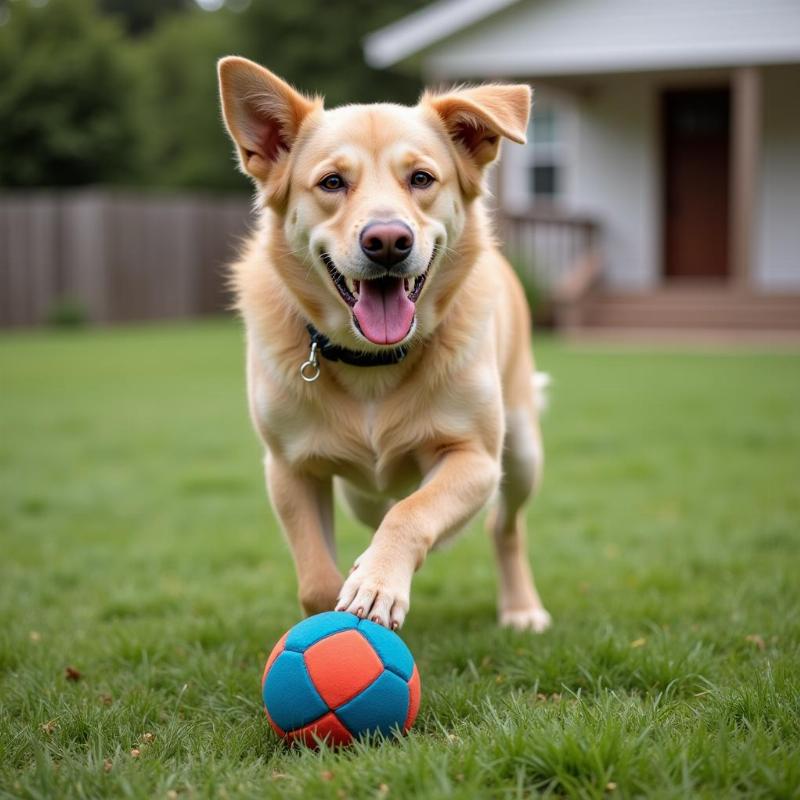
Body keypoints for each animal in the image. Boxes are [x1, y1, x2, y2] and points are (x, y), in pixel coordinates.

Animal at [220, 54, 556, 632]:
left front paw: (377, 584)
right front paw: (336, 607)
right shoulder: (289, 468)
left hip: (522, 452)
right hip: (358, 490)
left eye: (421, 178)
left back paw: (521, 609)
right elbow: (316, 580)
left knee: (503, 526)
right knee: (375, 503)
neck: (371, 361)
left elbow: (412, 512)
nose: (387, 241)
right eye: (332, 182)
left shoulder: (475, 459)